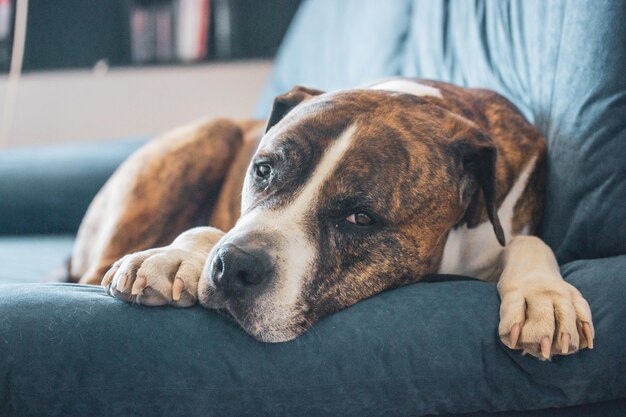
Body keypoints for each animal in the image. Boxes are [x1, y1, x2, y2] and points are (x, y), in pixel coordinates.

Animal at [70, 79, 592, 360]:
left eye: (361, 218)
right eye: (262, 170)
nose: (234, 266)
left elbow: (527, 242)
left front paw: (546, 298)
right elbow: (213, 227)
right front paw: (172, 258)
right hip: (210, 134)